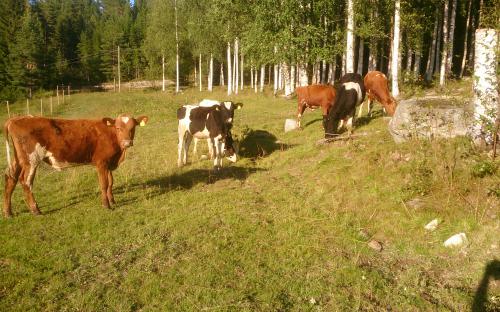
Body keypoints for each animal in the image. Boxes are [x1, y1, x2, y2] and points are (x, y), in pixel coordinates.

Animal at [3, 113, 148, 218]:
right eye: (118, 128)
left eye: (132, 128)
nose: (127, 143)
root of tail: (16, 118)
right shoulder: (101, 162)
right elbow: (104, 184)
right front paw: (106, 205)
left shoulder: (109, 162)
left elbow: (111, 183)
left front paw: (112, 201)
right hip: (31, 160)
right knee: (26, 182)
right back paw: (36, 210)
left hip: (19, 159)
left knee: (10, 179)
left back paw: (8, 212)